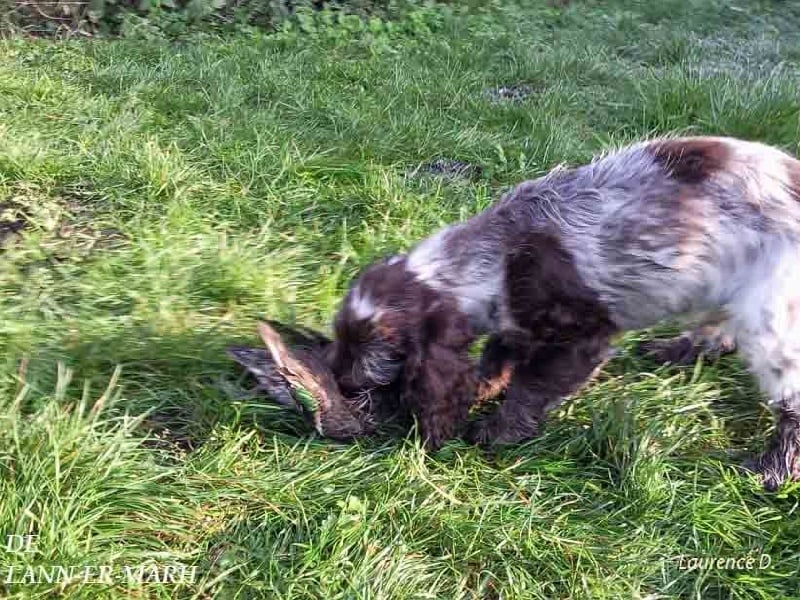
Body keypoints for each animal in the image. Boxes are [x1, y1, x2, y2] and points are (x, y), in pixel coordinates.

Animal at [324, 137, 800, 492]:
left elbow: (530, 388)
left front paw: (495, 431)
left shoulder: (579, 339)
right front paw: (482, 388)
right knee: (720, 329)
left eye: (375, 358)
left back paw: (772, 469)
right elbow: (499, 355)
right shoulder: (517, 320)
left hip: (772, 313)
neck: (499, 258)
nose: (338, 381)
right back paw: (674, 349)